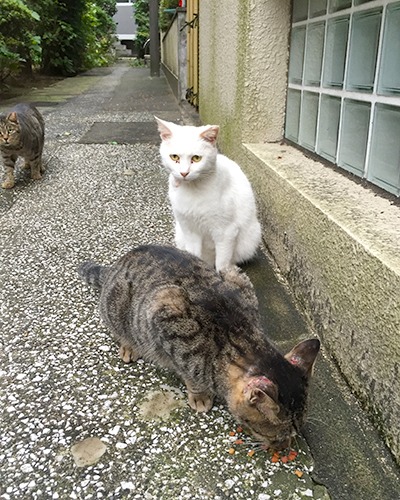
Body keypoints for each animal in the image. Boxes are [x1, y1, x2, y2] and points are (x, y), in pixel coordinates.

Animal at [78, 244, 320, 452]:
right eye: (277, 436)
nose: (285, 447)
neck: (242, 338)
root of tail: (116, 264)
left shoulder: (235, 276)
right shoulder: (164, 313)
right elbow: (190, 372)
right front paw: (200, 395)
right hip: (118, 308)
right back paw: (129, 345)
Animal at [155, 116, 260, 272]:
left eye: (196, 158)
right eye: (174, 157)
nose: (184, 173)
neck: (192, 189)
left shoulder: (225, 232)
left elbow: (222, 263)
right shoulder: (190, 230)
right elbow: (193, 255)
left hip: (250, 239)